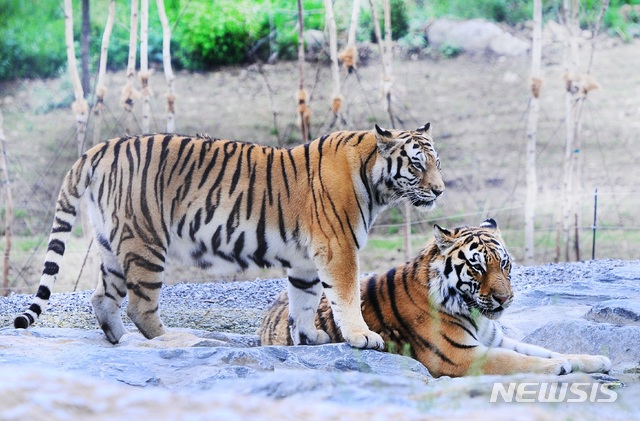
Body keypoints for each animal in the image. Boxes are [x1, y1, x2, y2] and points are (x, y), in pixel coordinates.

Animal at [13, 123, 444, 350]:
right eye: (416, 165)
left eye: (436, 163)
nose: (440, 191)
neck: (375, 181)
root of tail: (101, 147)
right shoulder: (338, 249)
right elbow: (346, 296)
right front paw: (362, 337)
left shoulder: (305, 261)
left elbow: (305, 301)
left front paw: (310, 337)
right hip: (145, 242)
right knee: (139, 305)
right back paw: (172, 340)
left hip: (112, 246)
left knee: (102, 299)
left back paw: (123, 341)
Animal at [258, 218, 612, 376]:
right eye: (478, 267)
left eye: (504, 264)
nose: (505, 299)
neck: (474, 312)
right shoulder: (458, 355)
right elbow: (517, 360)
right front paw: (558, 367)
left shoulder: (495, 339)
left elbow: (545, 349)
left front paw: (594, 359)